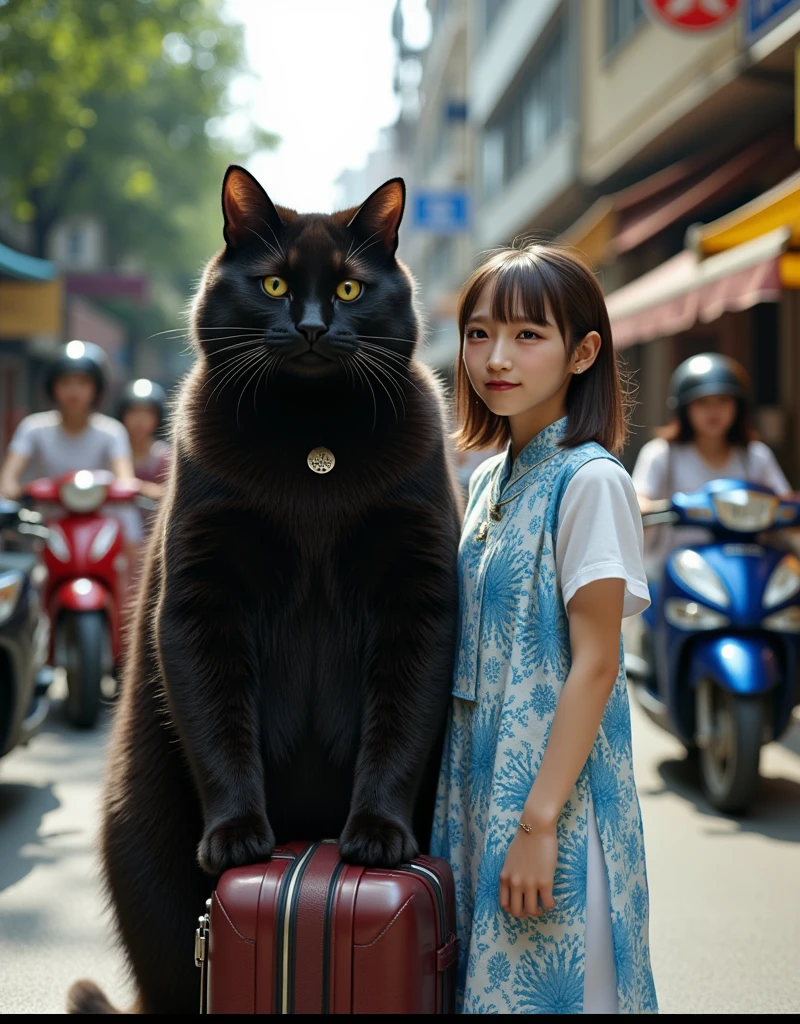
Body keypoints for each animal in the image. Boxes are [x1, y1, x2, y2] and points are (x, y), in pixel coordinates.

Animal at [69, 163, 460, 1011]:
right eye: (274, 282)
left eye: (348, 288)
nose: (311, 326)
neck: (314, 447)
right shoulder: (200, 600)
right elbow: (219, 723)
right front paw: (238, 835)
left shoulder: (419, 597)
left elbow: (400, 722)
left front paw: (378, 835)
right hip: (140, 858)